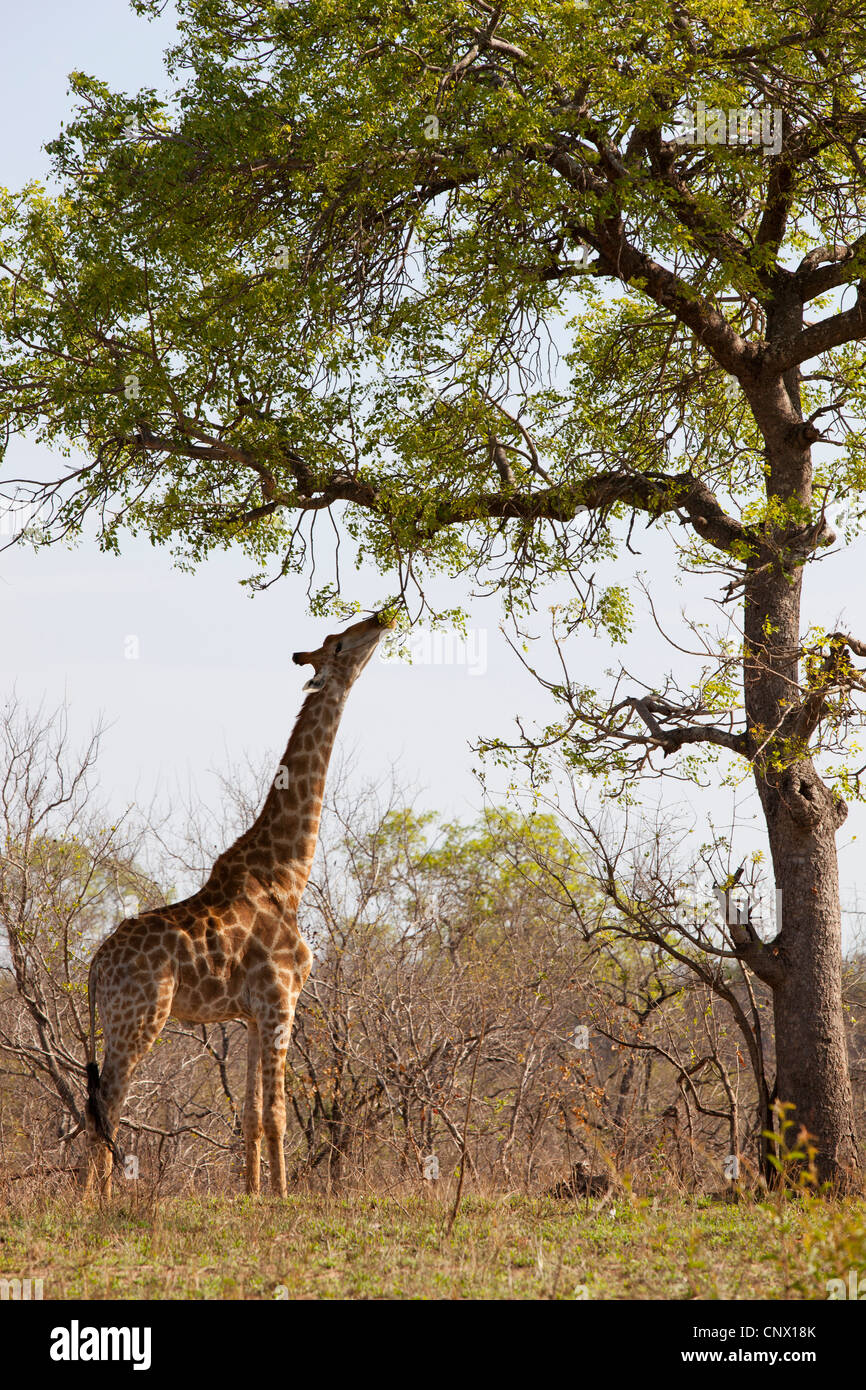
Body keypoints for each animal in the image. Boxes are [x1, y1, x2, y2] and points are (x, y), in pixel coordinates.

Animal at [83, 610, 394, 1198]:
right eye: (340, 645)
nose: (382, 618)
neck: (288, 875)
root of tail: (93, 967)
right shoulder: (280, 998)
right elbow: (277, 1113)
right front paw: (283, 1197)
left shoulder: (251, 1014)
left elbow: (249, 1114)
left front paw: (249, 1194)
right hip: (140, 1019)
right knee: (107, 1103)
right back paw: (97, 1200)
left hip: (114, 1023)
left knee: (97, 1102)